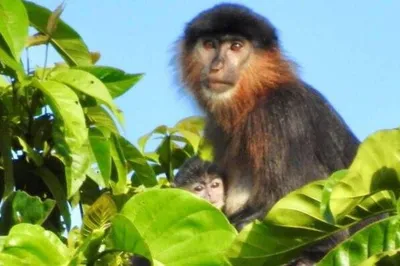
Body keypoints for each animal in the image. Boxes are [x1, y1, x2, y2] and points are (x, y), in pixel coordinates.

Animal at [175, 2, 360, 264]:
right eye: (209, 44)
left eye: (236, 46)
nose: (216, 66)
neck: (256, 96)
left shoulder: (283, 116)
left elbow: (327, 233)